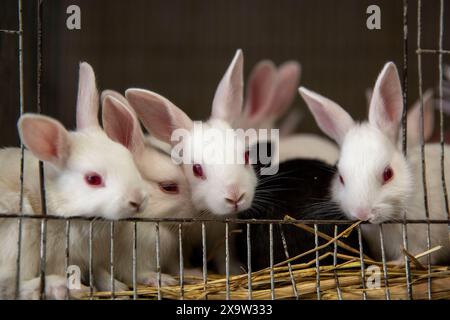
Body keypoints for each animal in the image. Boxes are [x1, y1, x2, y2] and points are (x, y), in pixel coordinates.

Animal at [0, 63, 147, 300]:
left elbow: (101, 272)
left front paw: (117, 287)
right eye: (93, 179)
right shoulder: (58, 257)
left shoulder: (93, 260)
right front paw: (80, 288)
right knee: (11, 284)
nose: (138, 200)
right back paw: (58, 287)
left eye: (129, 159)